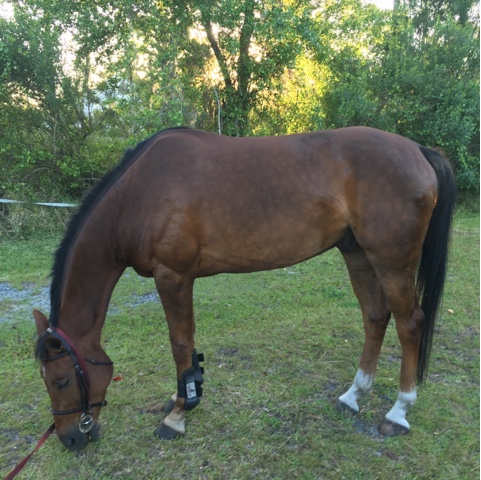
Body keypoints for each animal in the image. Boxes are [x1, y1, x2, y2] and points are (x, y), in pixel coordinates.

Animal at [34, 126, 456, 451]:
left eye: (61, 379)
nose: (70, 439)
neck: (139, 192)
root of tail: (419, 150)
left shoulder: (173, 276)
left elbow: (180, 343)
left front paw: (177, 415)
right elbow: (187, 346)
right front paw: (182, 395)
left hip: (392, 260)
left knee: (409, 324)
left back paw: (398, 412)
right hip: (358, 255)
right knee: (375, 316)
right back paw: (353, 396)